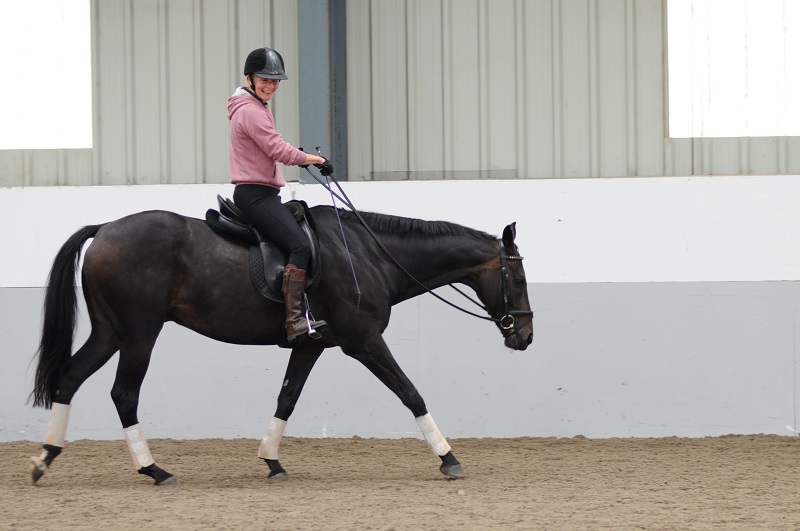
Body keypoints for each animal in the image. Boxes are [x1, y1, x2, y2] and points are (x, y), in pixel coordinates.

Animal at [29, 203, 533, 485]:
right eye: (519, 278)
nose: (525, 336)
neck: (369, 255)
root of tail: (105, 228)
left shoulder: (312, 344)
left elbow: (287, 398)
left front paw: (271, 461)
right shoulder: (364, 341)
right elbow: (412, 393)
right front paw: (449, 458)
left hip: (109, 332)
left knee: (70, 377)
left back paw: (45, 458)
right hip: (139, 335)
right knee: (124, 395)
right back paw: (154, 470)